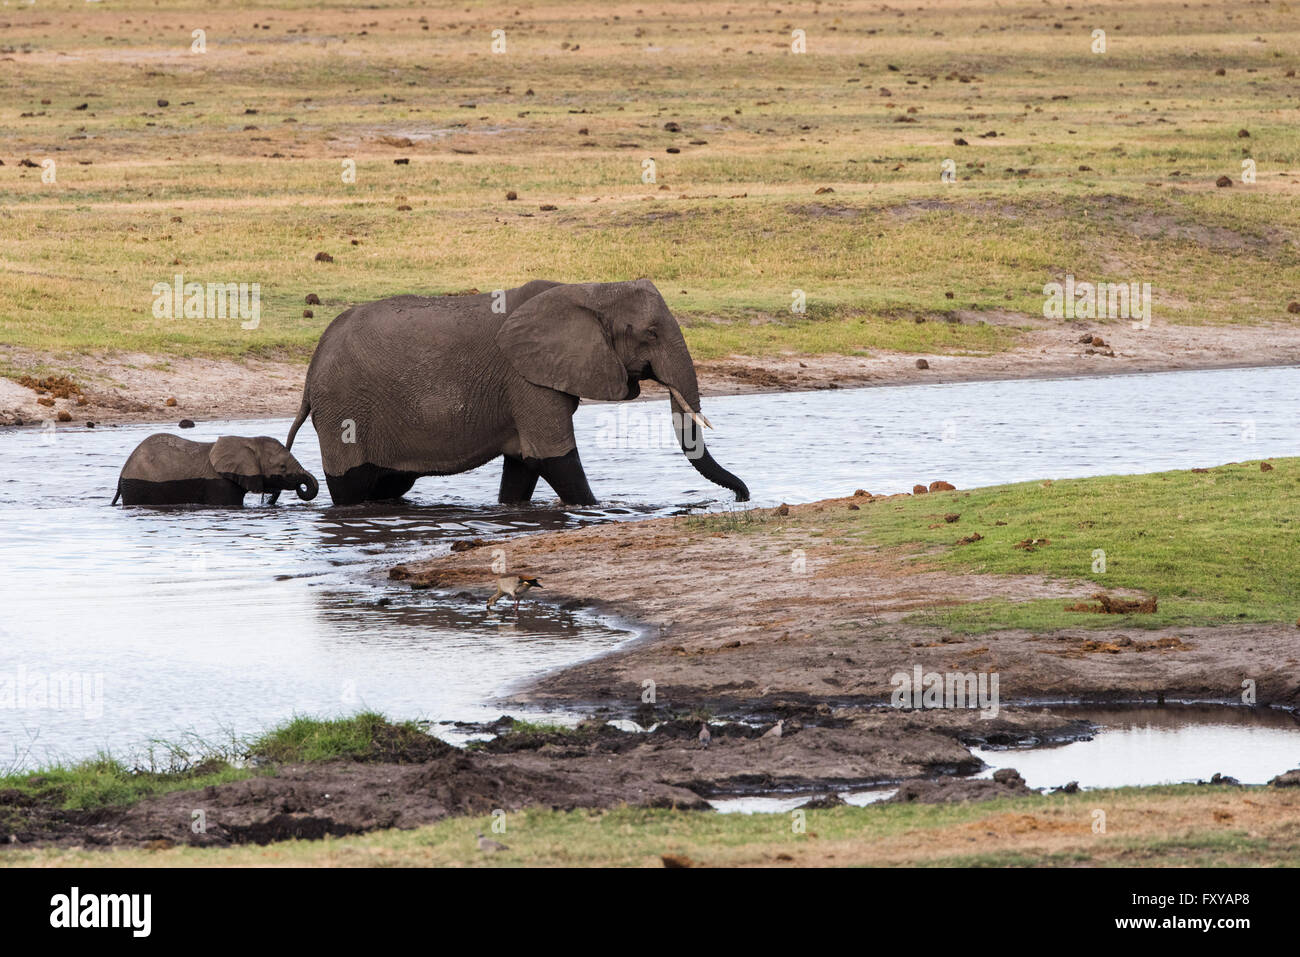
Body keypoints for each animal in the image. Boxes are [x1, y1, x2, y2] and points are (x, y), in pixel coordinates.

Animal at [279, 278, 748, 509]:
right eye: (650, 333)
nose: (743, 497)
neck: (589, 289)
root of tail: (310, 371)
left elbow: (524, 464)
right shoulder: (526, 379)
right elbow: (554, 458)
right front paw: (596, 510)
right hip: (343, 410)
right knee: (354, 486)